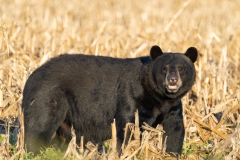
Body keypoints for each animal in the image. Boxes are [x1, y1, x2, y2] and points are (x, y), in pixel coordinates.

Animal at [21, 45, 198, 156]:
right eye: (164, 68)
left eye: (181, 68)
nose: (172, 80)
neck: (159, 98)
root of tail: (31, 77)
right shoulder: (131, 95)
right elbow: (126, 127)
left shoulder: (173, 107)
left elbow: (175, 129)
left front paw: (171, 154)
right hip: (48, 98)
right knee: (39, 126)